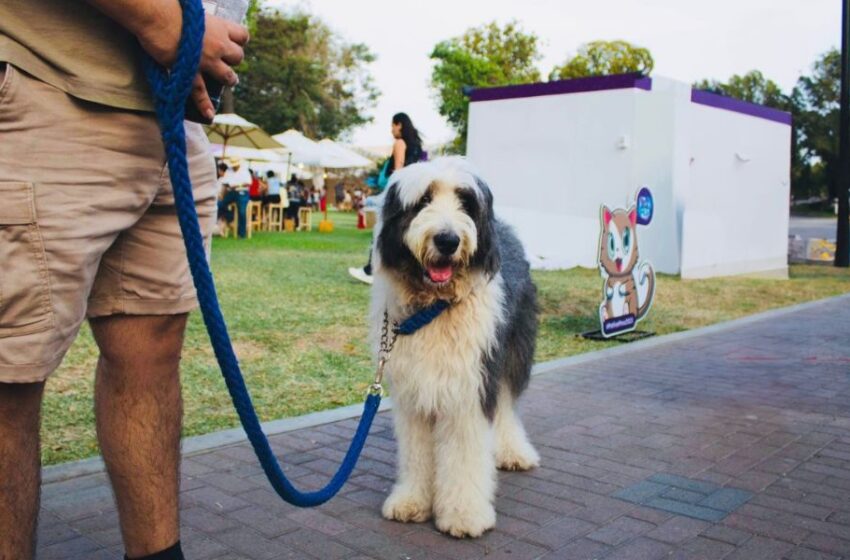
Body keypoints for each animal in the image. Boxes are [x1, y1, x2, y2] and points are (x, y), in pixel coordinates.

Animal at [370, 156, 536, 540]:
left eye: (465, 202)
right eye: (423, 200)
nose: (447, 240)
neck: (434, 307)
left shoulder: (471, 384)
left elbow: (464, 453)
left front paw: (464, 514)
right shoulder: (413, 389)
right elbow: (416, 450)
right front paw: (412, 501)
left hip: (512, 352)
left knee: (507, 405)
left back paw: (513, 452)